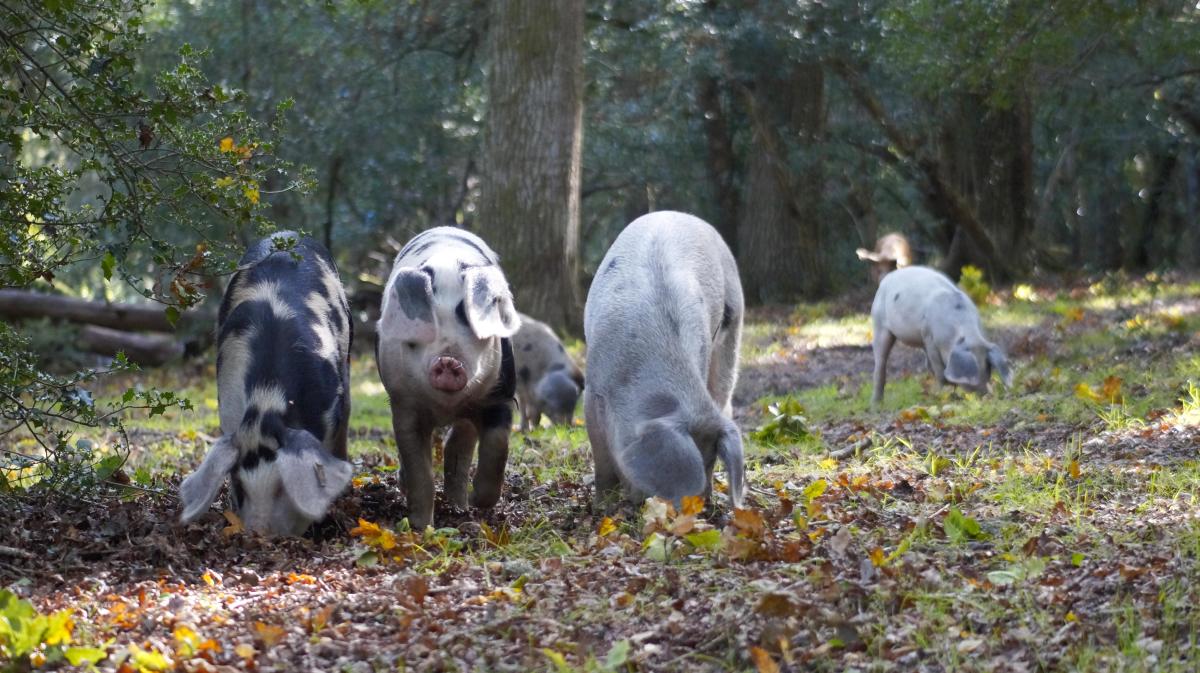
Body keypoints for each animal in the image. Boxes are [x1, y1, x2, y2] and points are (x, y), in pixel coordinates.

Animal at [375, 226, 520, 529]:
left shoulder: (499, 393)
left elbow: (498, 444)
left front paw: (480, 502)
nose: (448, 360)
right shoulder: (404, 403)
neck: (446, 406)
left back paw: (461, 506)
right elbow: (419, 467)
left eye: (467, 317)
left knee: (461, 441)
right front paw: (421, 527)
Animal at [583, 211, 745, 509]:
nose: (701, 507)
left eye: (711, 460)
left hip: (733, 330)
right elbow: (602, 463)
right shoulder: (592, 391)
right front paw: (602, 506)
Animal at [870, 265, 1013, 408]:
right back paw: (876, 404)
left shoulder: (926, 337)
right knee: (880, 364)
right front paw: (945, 393)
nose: (987, 395)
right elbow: (939, 369)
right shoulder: (930, 338)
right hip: (879, 324)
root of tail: (888, 277)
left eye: (988, 370)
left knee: (927, 364)